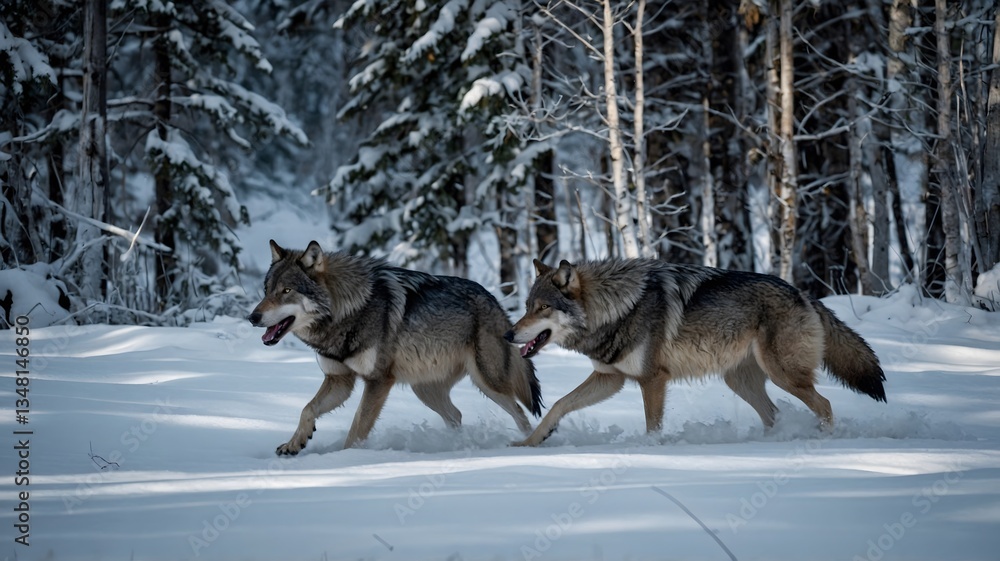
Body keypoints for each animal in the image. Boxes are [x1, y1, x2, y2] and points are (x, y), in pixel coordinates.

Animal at [249, 240, 542, 455]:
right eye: (266, 289)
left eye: (286, 291)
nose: (252, 317)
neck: (348, 311)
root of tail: (496, 302)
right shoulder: (339, 380)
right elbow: (306, 409)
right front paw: (294, 444)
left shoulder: (378, 381)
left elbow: (357, 427)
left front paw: (346, 458)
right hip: (424, 390)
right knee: (457, 415)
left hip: (487, 382)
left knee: (520, 413)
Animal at [504, 259, 886, 447]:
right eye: (526, 307)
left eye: (542, 308)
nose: (509, 333)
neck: (615, 308)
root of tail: (804, 295)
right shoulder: (610, 378)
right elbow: (558, 405)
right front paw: (530, 444)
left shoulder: (652, 380)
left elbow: (652, 426)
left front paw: (650, 452)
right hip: (741, 382)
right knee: (775, 415)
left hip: (783, 375)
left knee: (825, 404)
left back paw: (822, 442)